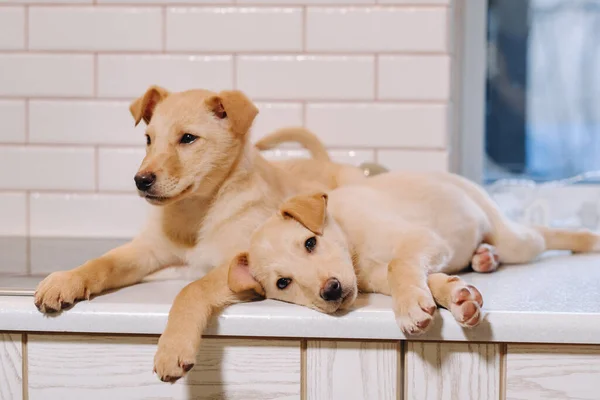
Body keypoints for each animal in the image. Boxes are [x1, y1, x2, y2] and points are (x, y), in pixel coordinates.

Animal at [229, 172, 600, 334]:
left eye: (310, 243)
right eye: (283, 283)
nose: (331, 290)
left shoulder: (421, 240)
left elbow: (400, 264)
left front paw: (410, 308)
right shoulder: (379, 276)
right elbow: (424, 279)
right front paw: (458, 297)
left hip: (516, 240)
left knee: (545, 235)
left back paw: (588, 239)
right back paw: (484, 257)